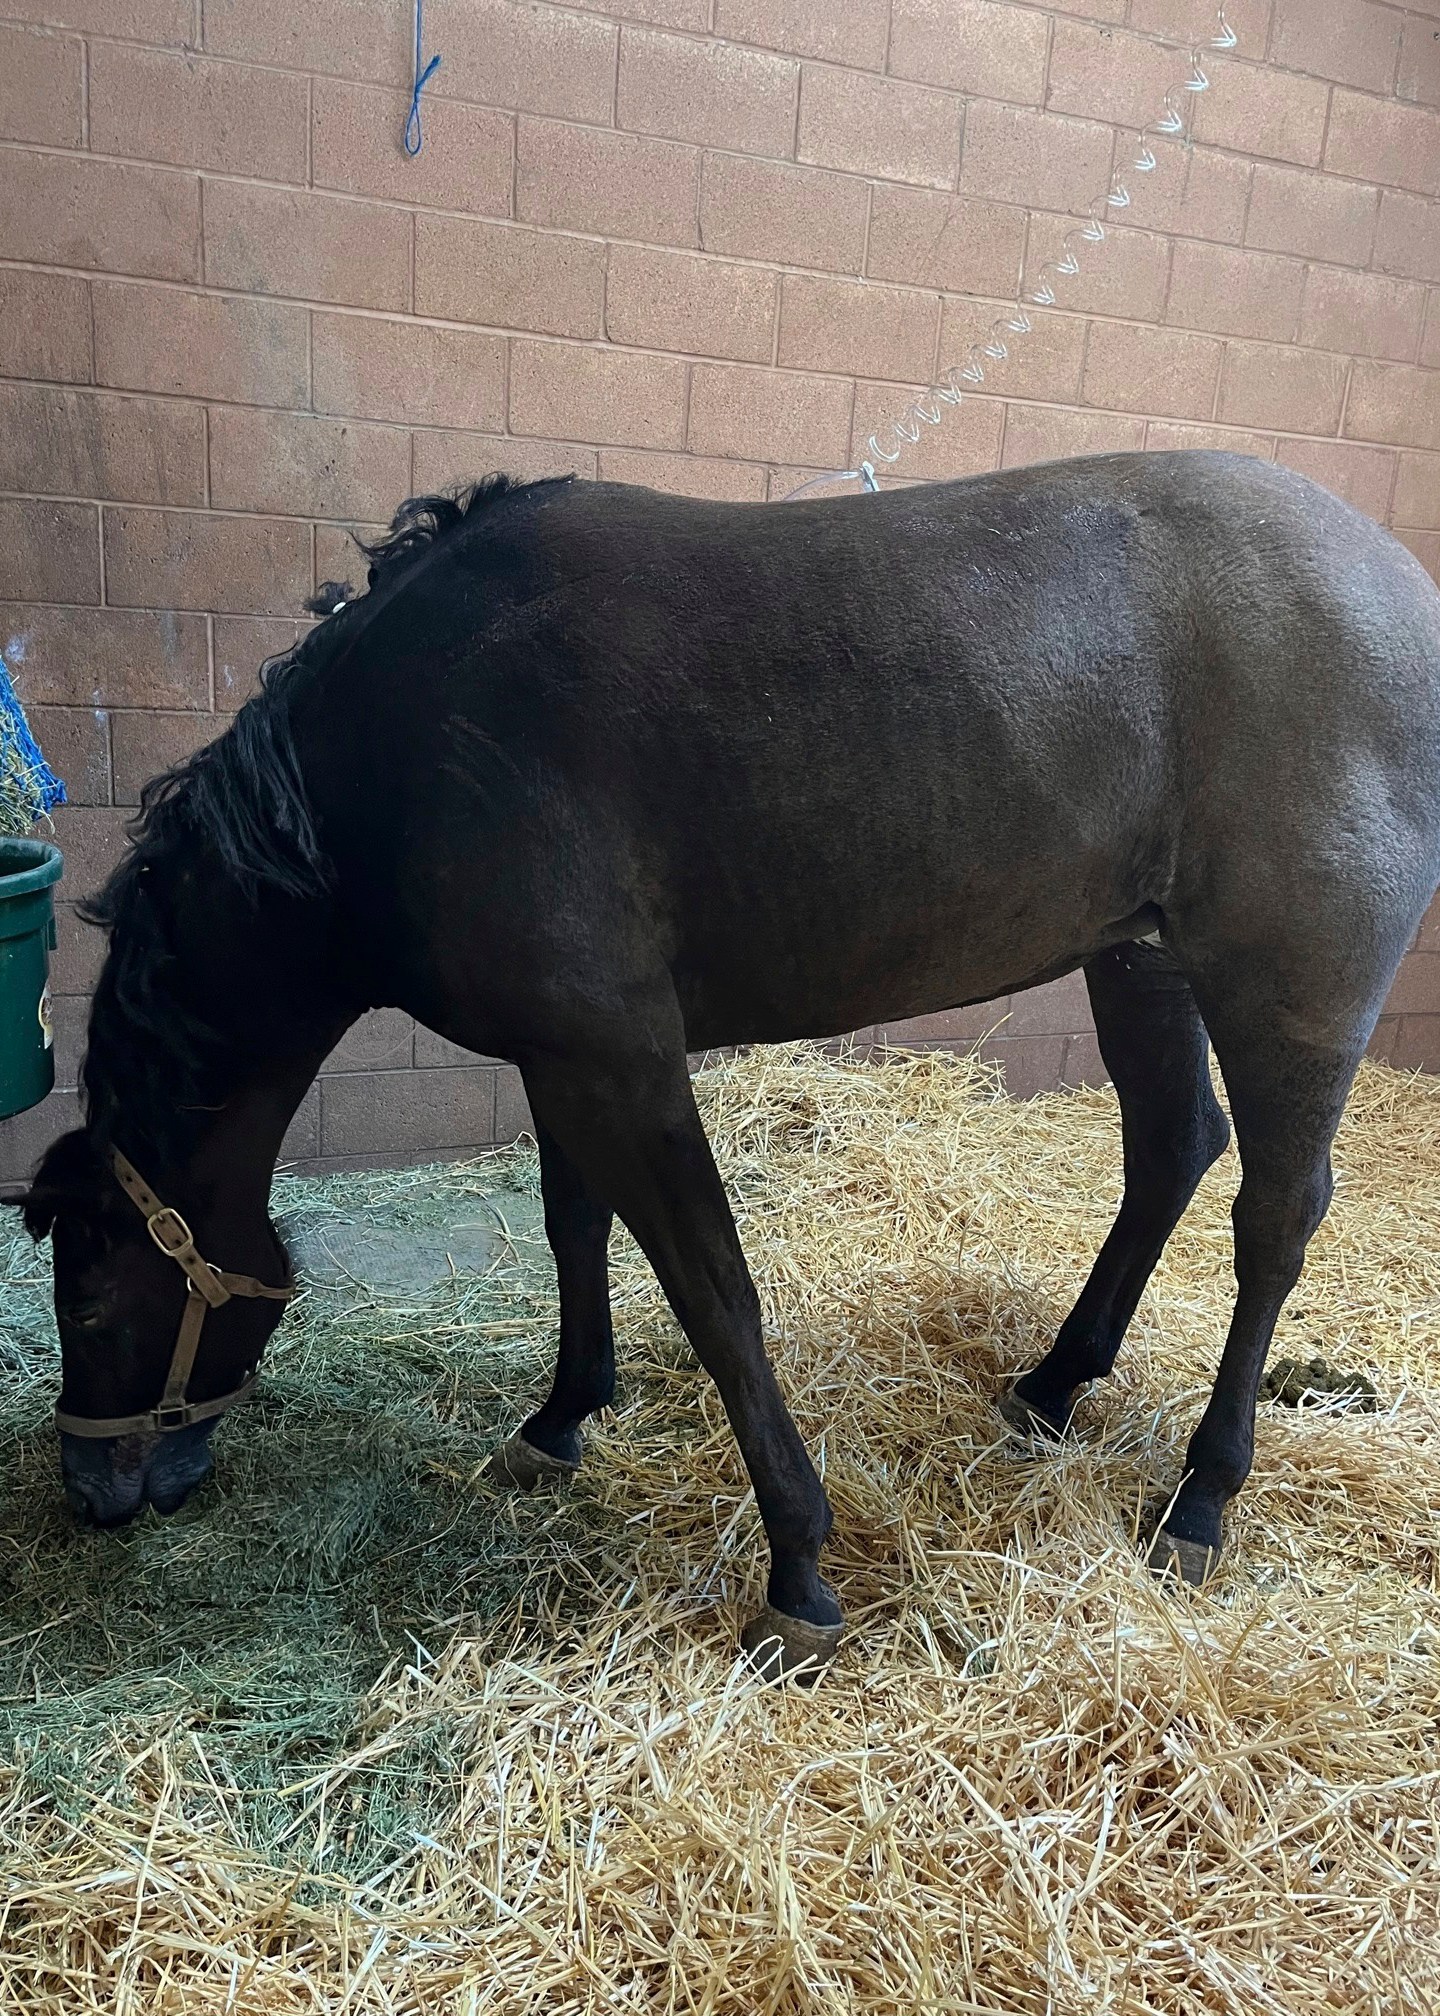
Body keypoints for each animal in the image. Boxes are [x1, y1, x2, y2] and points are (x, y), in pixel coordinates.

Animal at [11, 453, 1435, 1669]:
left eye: (88, 1306)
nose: (91, 1491)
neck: (400, 750)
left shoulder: (622, 1064)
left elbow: (714, 1296)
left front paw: (798, 1567)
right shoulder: (562, 1057)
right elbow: (573, 1225)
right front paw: (561, 1417)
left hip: (1290, 985)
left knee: (1274, 1220)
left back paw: (1201, 1498)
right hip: (1142, 959)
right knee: (1170, 1149)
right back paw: (1052, 1384)